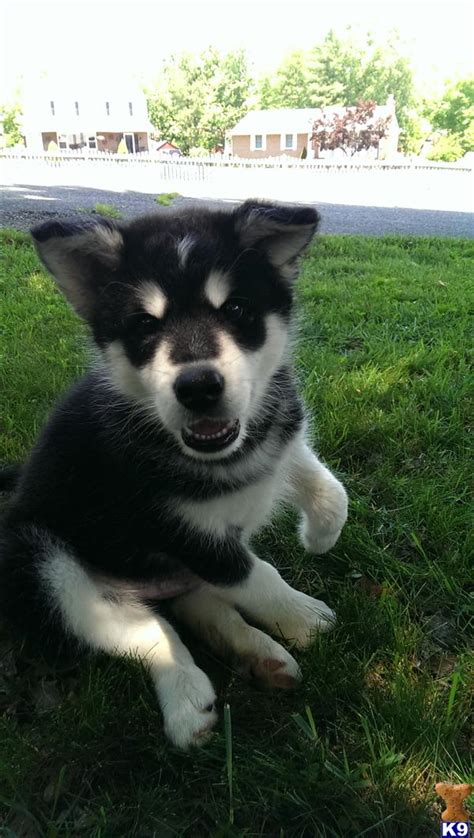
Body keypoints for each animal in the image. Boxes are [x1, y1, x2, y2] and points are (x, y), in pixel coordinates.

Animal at [0, 202, 348, 748]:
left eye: (236, 310)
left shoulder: (278, 439)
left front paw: (321, 535)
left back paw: (261, 655)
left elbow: (326, 483)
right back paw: (187, 701)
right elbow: (258, 577)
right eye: (145, 324)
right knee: (145, 632)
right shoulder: (183, 533)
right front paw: (307, 617)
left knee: (201, 608)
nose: (198, 387)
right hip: (40, 562)